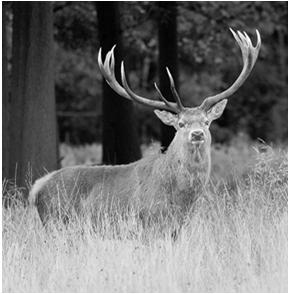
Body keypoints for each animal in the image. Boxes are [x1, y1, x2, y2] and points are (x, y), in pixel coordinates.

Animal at [28, 29, 260, 227]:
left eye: (206, 121)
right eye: (181, 124)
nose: (197, 134)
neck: (182, 199)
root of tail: (37, 187)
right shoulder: (150, 220)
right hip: (57, 220)